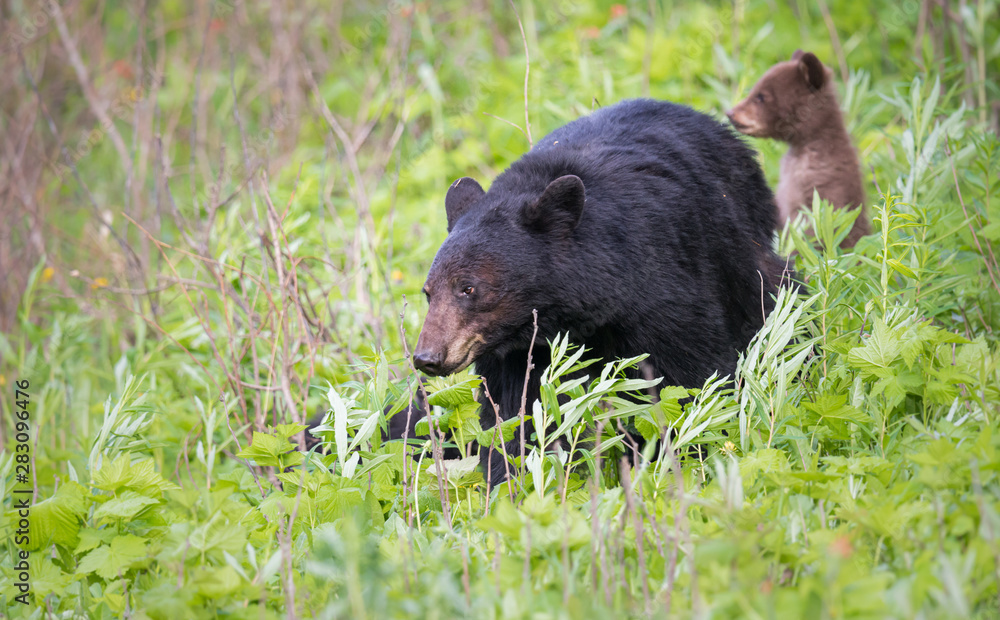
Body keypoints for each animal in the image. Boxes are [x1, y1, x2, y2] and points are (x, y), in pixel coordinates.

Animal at [410, 98, 784, 484]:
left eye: (468, 288)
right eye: (428, 292)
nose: (427, 357)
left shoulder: (662, 285)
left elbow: (691, 375)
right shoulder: (516, 352)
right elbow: (519, 411)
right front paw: (515, 476)